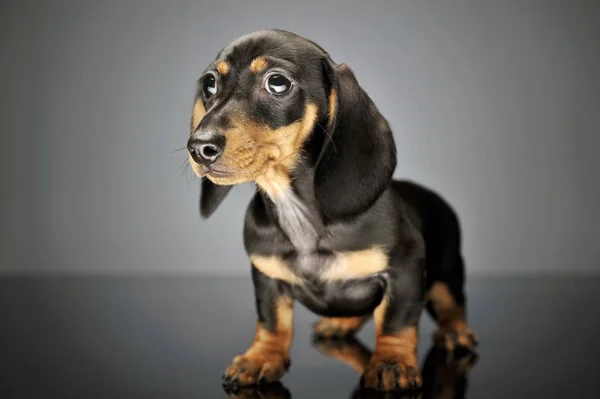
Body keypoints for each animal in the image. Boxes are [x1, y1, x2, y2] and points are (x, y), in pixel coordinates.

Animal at [188, 29, 478, 392]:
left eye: (277, 83)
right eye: (210, 84)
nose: (199, 147)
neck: (298, 212)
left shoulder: (405, 269)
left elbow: (396, 321)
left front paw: (392, 362)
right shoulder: (266, 275)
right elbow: (272, 322)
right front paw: (261, 357)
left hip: (447, 273)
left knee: (452, 304)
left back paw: (455, 331)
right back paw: (339, 324)